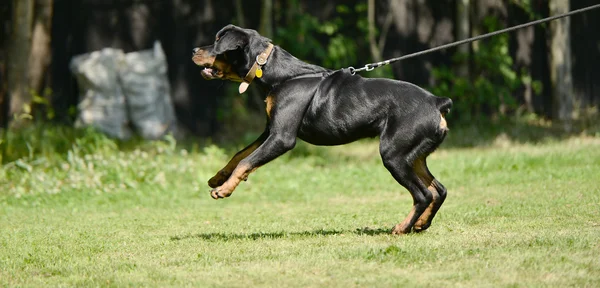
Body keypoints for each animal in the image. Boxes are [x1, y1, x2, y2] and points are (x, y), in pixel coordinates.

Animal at [195, 24, 452, 234]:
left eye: (217, 42)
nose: (194, 50)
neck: (275, 72)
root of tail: (438, 102)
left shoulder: (281, 137)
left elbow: (246, 161)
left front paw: (224, 190)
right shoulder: (270, 130)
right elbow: (240, 154)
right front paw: (219, 177)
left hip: (394, 154)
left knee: (423, 194)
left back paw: (402, 227)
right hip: (413, 155)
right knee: (439, 189)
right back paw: (421, 224)